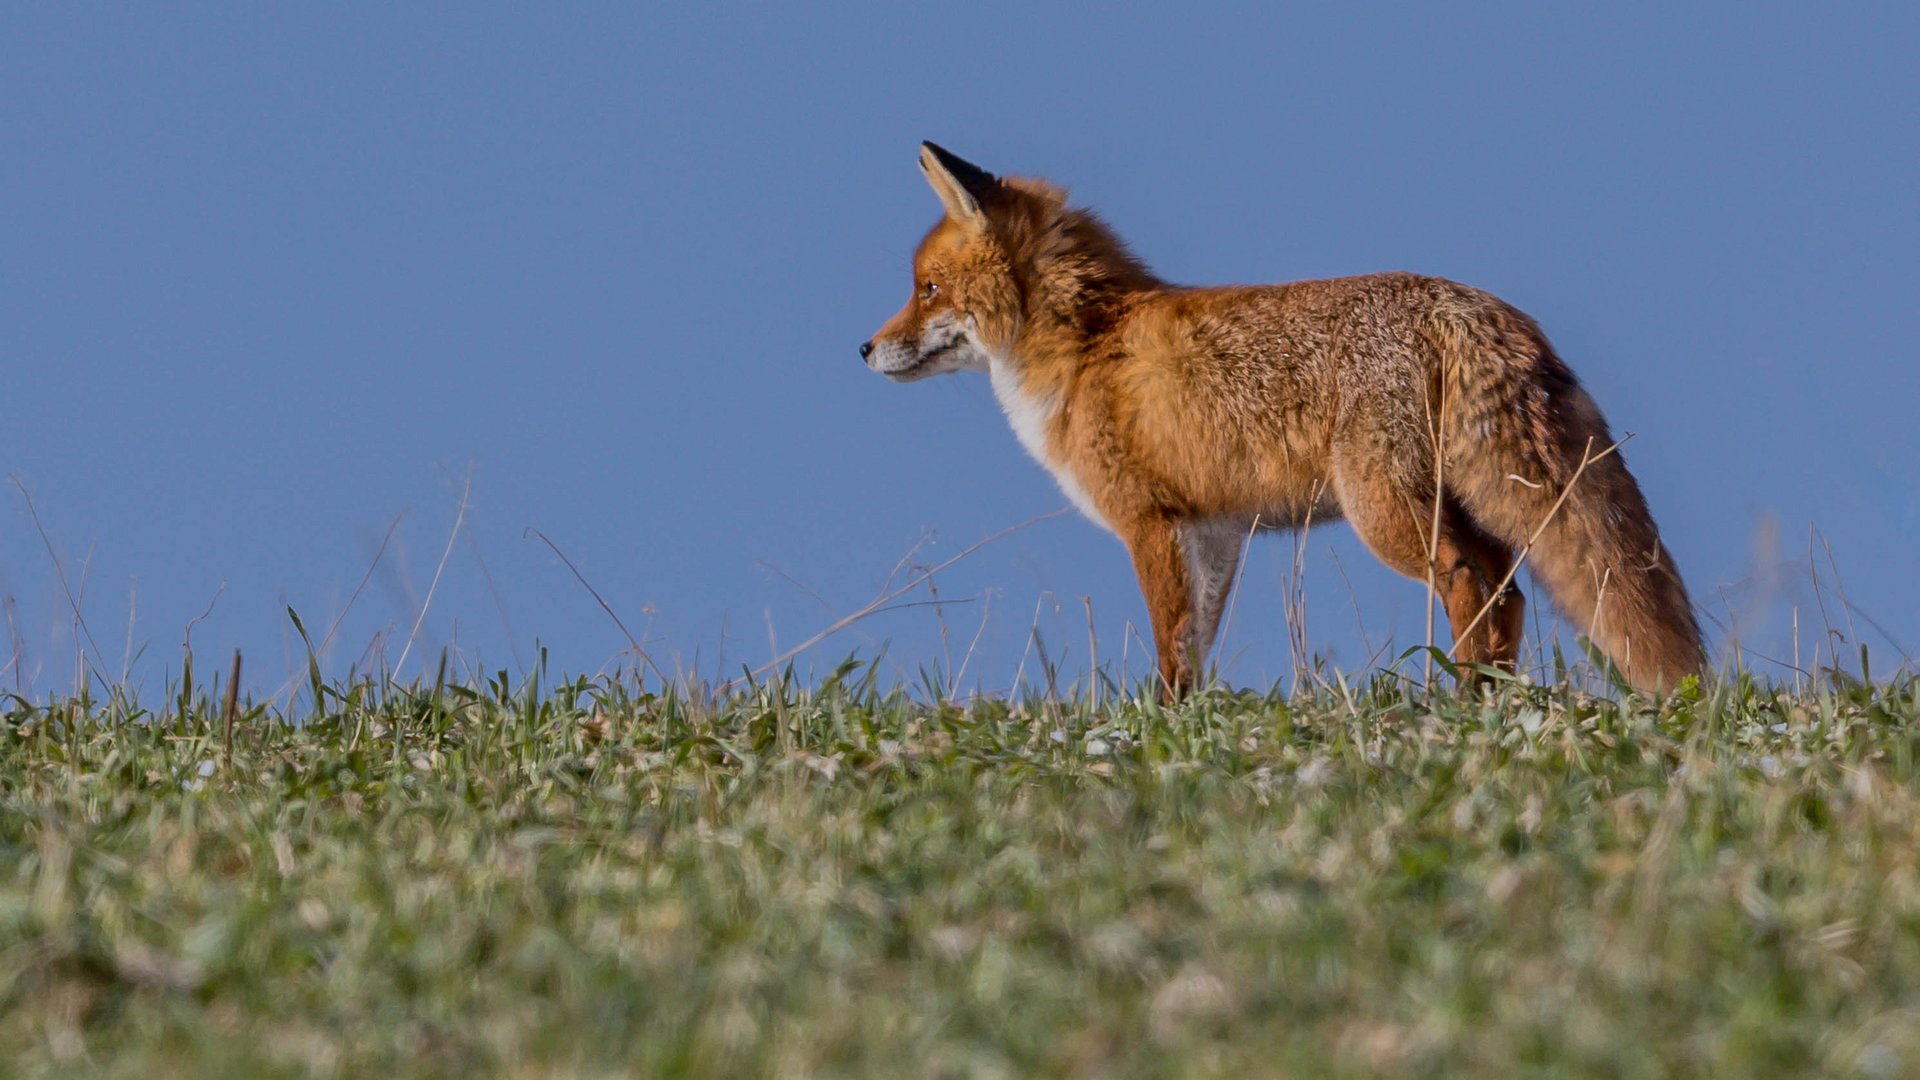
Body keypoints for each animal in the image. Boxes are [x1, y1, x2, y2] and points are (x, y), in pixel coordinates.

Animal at [864, 141, 1704, 699]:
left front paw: (1162, 728)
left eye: (928, 289)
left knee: (1470, 582)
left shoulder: (1149, 522)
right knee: (1512, 594)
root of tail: (1469, 306)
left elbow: (1170, 648)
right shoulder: (1212, 532)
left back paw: (1464, 706)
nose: (865, 348)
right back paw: (1491, 700)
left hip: (1384, 511)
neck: (1087, 341)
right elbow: (1196, 644)